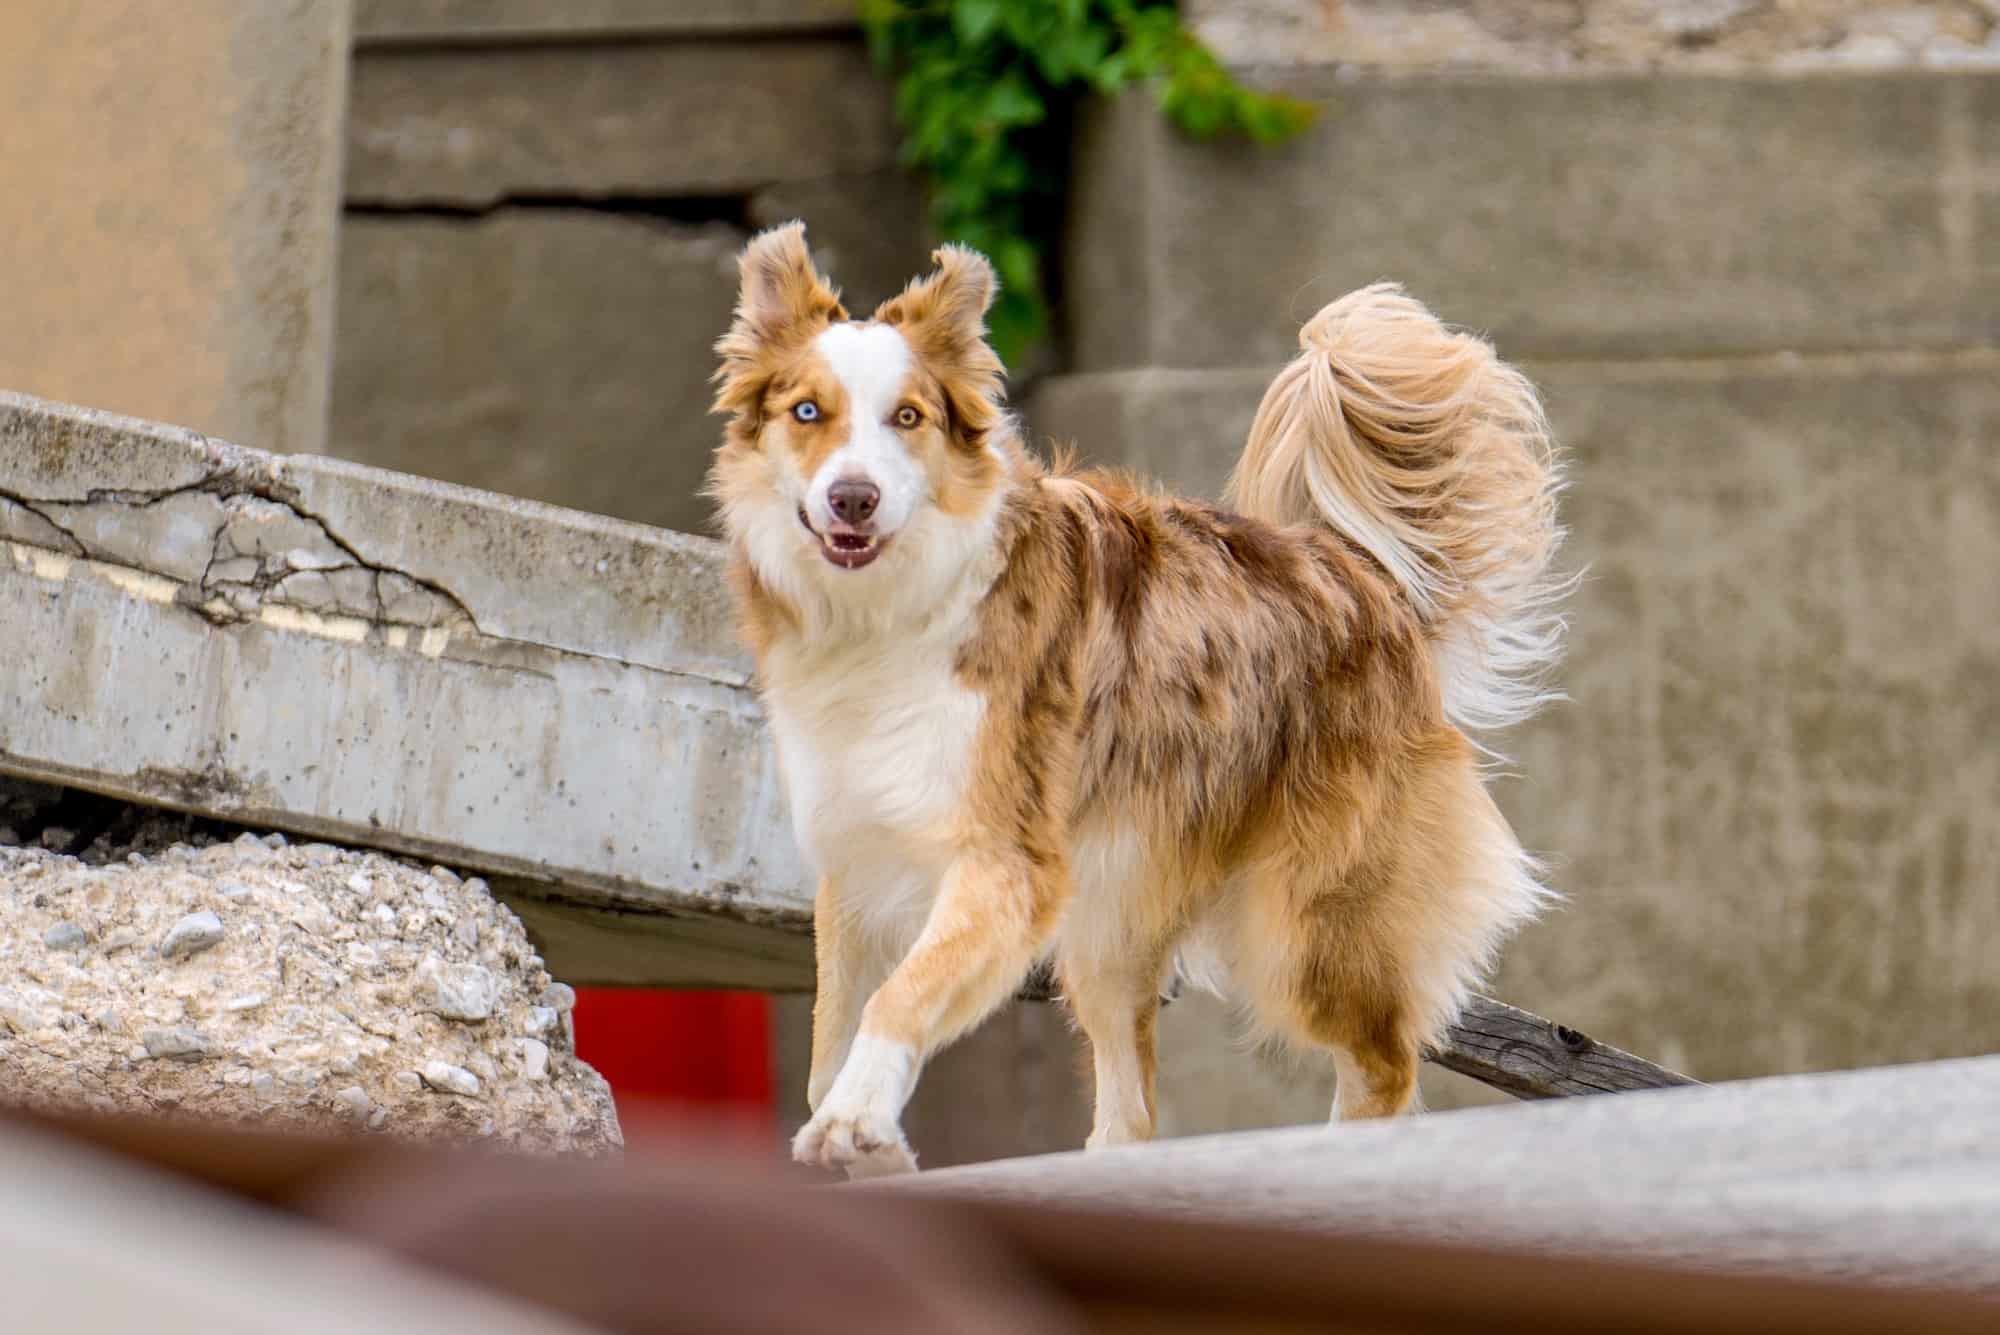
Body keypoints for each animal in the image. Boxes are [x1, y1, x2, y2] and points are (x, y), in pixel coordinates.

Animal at [712, 221, 1568, 1175]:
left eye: (909, 417)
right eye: (807, 413)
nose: (852, 497)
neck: (888, 612)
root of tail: (1364, 575)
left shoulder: (1006, 859)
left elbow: (900, 995)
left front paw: (857, 1124)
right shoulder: (859, 861)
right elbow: (833, 1036)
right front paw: (865, 1139)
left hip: (1306, 922)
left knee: (1382, 1064)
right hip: (1113, 920)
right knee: (1135, 1107)